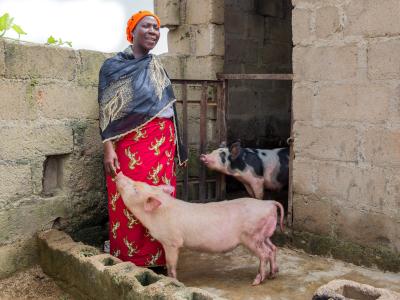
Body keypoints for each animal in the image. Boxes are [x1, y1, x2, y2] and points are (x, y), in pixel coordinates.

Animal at [115, 172, 284, 284]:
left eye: (136, 189)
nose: (119, 173)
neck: (155, 215)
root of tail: (268, 203)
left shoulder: (172, 241)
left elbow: (171, 263)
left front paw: (174, 281)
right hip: (263, 235)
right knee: (273, 249)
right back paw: (273, 274)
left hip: (252, 236)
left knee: (264, 253)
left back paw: (257, 281)